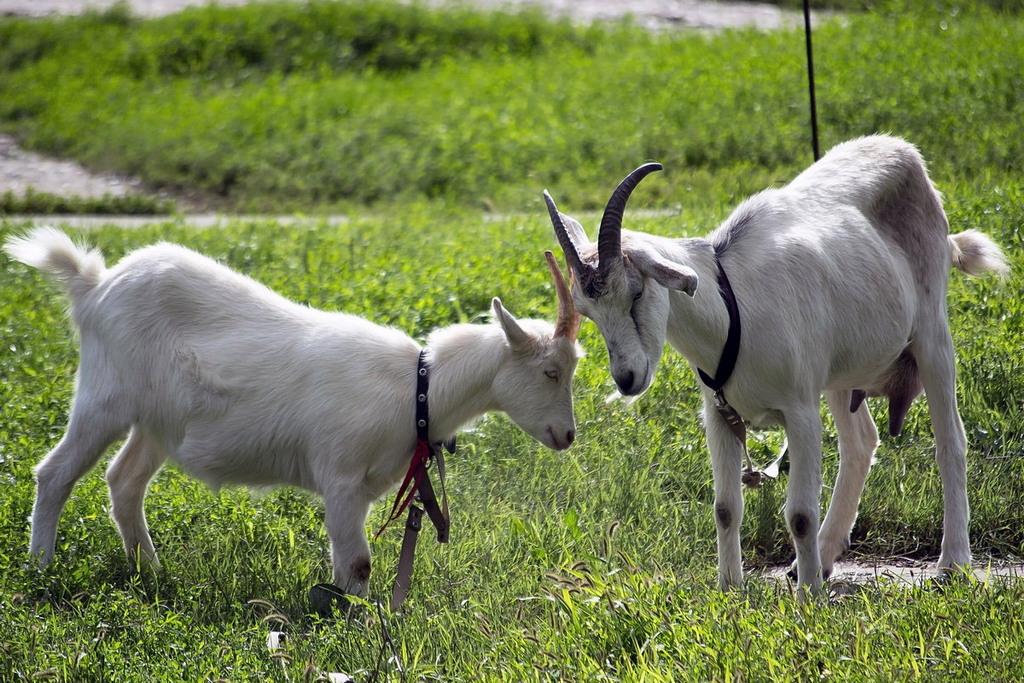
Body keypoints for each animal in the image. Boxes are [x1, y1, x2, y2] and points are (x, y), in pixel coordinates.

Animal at [6, 227, 585, 593]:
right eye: (551, 372)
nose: (567, 436)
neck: (416, 390)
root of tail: (94, 285)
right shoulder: (342, 476)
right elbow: (359, 564)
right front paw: (359, 633)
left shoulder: (363, 489)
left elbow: (349, 566)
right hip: (105, 396)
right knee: (55, 472)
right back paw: (42, 569)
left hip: (158, 424)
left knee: (123, 480)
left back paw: (151, 571)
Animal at [544, 135, 1007, 598]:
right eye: (588, 312)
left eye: (636, 292)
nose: (626, 379)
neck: (732, 308)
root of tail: (906, 155)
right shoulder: (719, 415)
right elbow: (725, 508)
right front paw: (730, 589)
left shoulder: (800, 411)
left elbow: (800, 514)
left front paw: (809, 599)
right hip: (839, 373)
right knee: (860, 442)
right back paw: (822, 558)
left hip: (932, 333)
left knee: (951, 440)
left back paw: (952, 563)